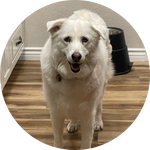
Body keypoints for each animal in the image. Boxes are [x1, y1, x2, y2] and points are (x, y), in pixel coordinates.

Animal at [39, 9, 113, 150]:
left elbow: (86, 140)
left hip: (102, 87)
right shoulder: (56, 112)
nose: (76, 56)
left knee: (99, 105)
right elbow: (58, 139)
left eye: (85, 40)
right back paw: (73, 123)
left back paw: (98, 122)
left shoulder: (88, 113)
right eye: (67, 39)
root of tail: (86, 11)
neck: (72, 77)